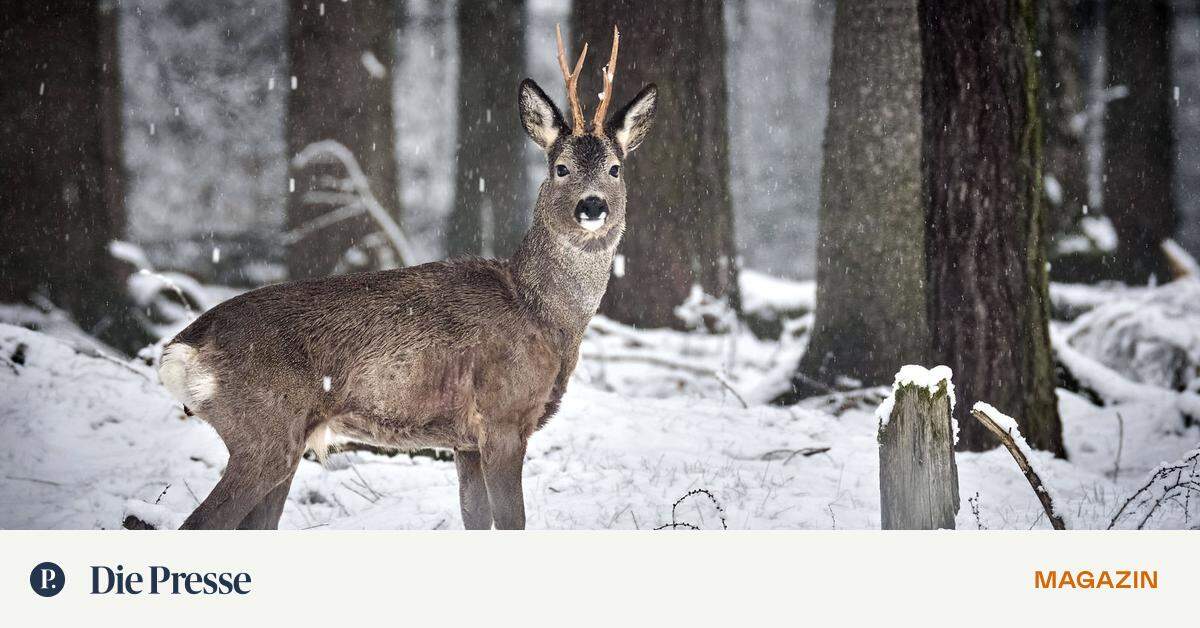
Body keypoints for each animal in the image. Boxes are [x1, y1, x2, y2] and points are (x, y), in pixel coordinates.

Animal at [156, 28, 662, 530]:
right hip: (264, 430)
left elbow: (475, 518)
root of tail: (180, 349)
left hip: (286, 439)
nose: (592, 205)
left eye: (615, 169)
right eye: (561, 168)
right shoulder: (503, 414)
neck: (541, 313)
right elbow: (512, 520)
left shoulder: (465, 440)